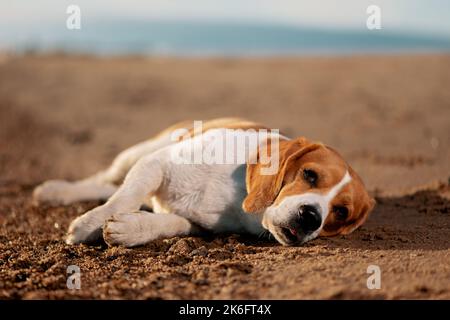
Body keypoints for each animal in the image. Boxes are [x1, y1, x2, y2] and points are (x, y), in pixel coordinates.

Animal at [33, 119, 374, 246]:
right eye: (309, 175)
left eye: (340, 212)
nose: (311, 217)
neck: (238, 196)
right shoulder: (156, 163)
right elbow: (124, 197)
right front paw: (88, 226)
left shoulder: (199, 225)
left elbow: (170, 223)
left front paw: (132, 228)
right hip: (137, 153)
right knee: (105, 181)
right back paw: (57, 191)